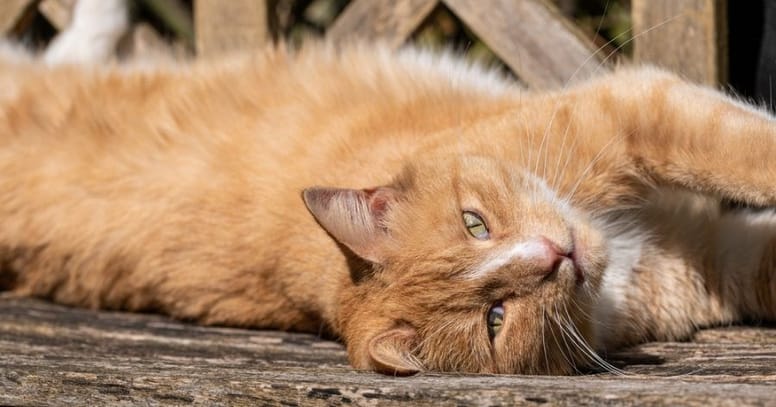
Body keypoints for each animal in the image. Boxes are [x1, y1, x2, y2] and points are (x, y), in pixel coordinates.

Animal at [1, 2, 776, 376]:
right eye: (495, 317)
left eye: (473, 222)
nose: (557, 256)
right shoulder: (710, 257)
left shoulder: (637, 117)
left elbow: (746, 151)